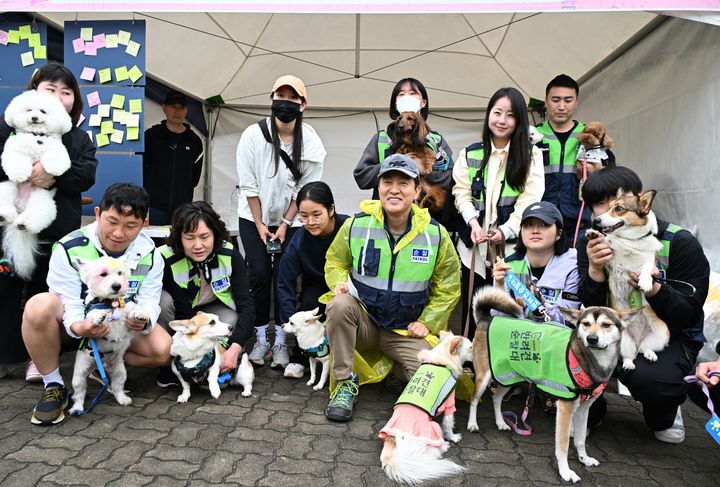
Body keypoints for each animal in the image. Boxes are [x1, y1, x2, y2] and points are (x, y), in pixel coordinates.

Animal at [0, 89, 72, 280]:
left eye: (43, 111)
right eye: (28, 110)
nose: (34, 118)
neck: (37, 137)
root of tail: (20, 206)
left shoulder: (57, 148)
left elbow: (57, 158)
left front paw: (54, 169)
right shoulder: (14, 148)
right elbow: (16, 160)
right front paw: (20, 173)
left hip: (41, 199)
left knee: (36, 214)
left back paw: (23, 224)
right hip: (6, 187)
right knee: (5, 202)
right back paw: (3, 215)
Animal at [68, 255, 150, 416]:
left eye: (119, 273)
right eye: (103, 274)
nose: (117, 286)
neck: (110, 302)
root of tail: (101, 365)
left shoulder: (126, 305)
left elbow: (134, 307)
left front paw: (141, 314)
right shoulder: (90, 312)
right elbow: (92, 316)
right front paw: (99, 316)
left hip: (119, 371)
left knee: (118, 386)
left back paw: (123, 399)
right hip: (80, 374)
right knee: (79, 393)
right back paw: (77, 408)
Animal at [376, 330, 472, 486]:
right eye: (470, 347)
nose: (479, 352)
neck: (441, 361)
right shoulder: (450, 403)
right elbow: (448, 424)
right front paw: (453, 437)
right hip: (433, 427)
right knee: (437, 449)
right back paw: (445, 445)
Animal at [470, 288, 644, 482]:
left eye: (606, 325)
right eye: (585, 323)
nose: (591, 339)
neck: (586, 358)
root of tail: (487, 317)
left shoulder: (584, 409)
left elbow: (580, 439)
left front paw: (584, 459)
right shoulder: (566, 408)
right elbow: (563, 446)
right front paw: (565, 471)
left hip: (508, 376)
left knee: (496, 398)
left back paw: (501, 422)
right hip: (485, 375)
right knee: (474, 399)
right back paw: (472, 424)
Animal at [588, 190, 672, 370]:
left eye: (619, 208)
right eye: (609, 207)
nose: (596, 221)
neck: (630, 241)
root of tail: (638, 341)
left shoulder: (649, 260)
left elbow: (646, 268)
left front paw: (645, 282)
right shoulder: (612, 262)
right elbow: (609, 241)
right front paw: (595, 234)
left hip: (663, 332)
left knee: (646, 348)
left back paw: (650, 354)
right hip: (622, 341)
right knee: (629, 356)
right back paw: (628, 364)